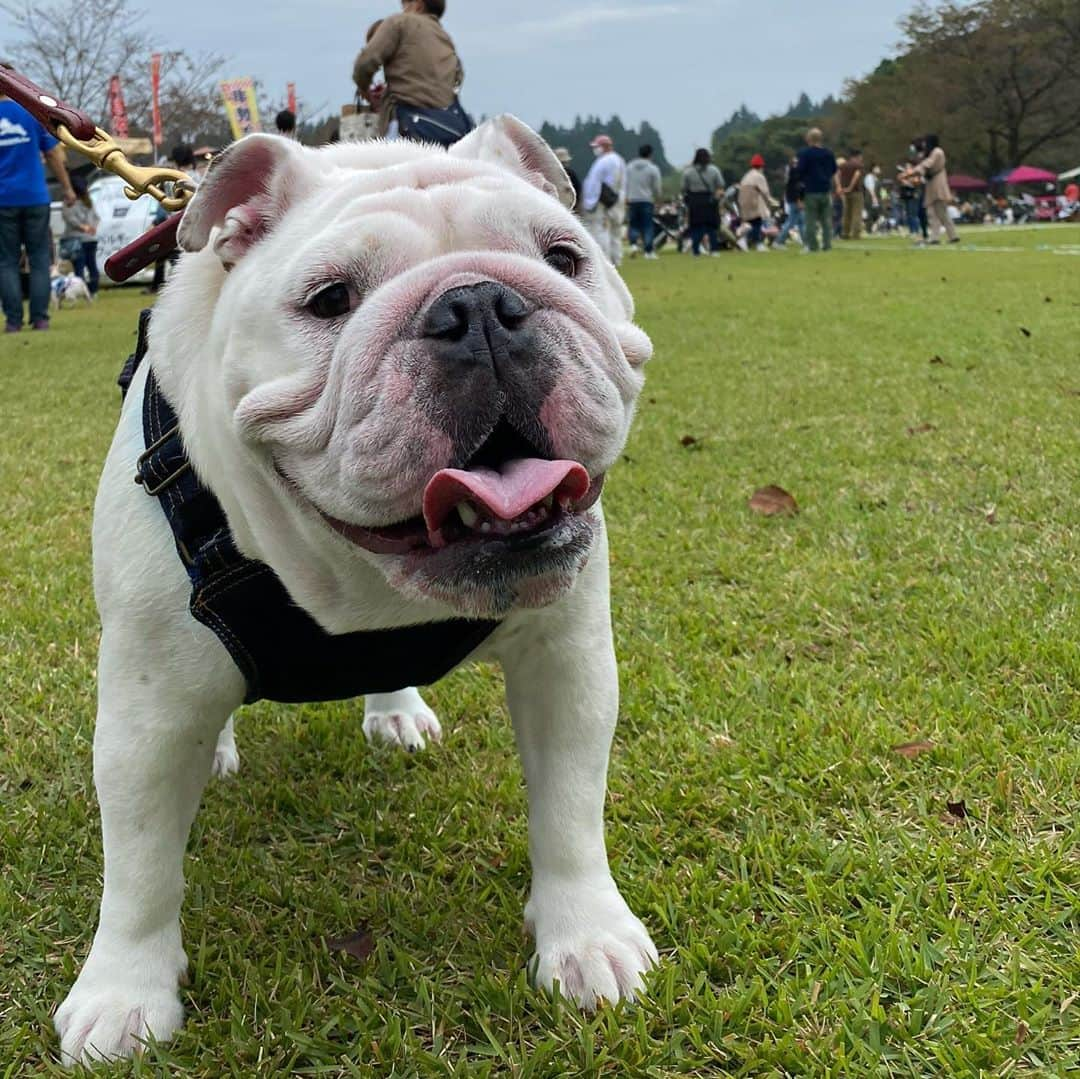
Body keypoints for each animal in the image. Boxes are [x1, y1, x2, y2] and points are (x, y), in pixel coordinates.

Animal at [56, 116, 656, 1062]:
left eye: (565, 258)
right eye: (329, 299)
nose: (478, 304)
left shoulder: (568, 665)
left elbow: (569, 809)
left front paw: (586, 935)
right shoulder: (144, 712)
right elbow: (141, 865)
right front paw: (122, 993)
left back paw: (394, 710)